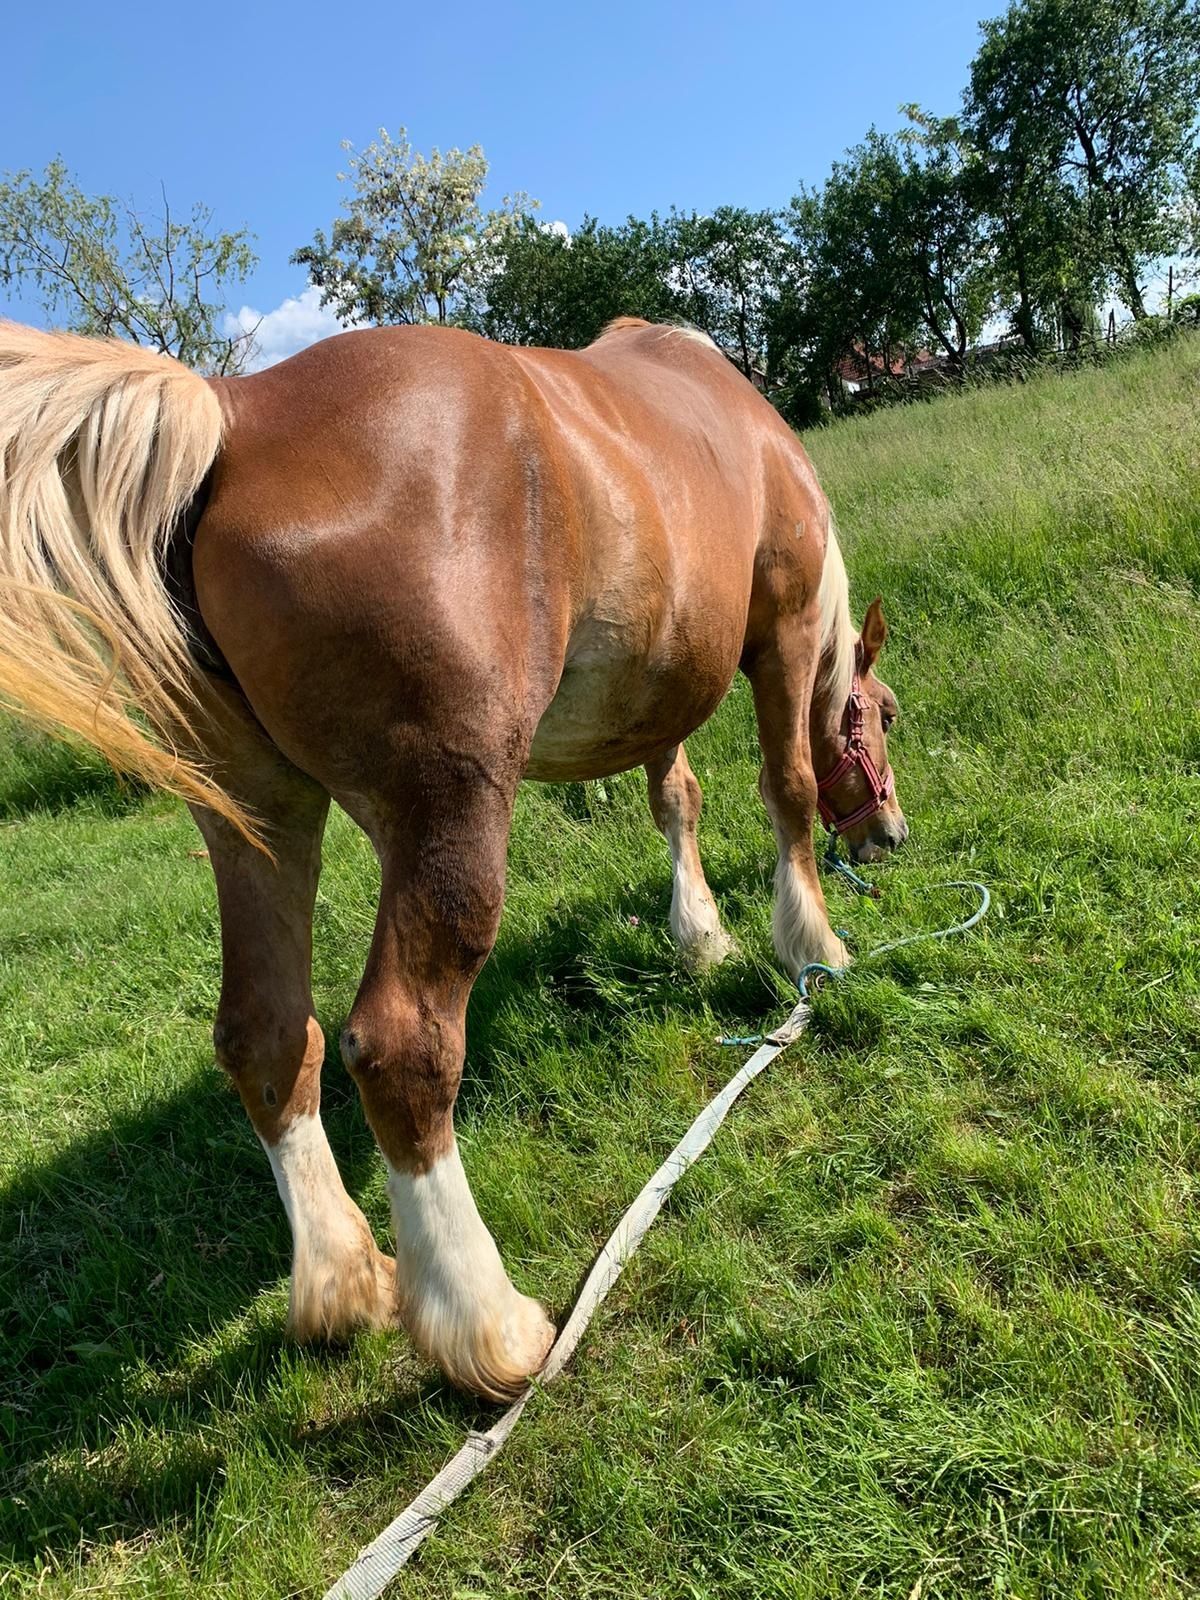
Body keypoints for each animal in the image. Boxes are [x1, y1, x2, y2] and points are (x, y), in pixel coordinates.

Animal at [0, 315, 902, 1401]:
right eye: (886, 715)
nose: (892, 837)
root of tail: (234, 415)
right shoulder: (785, 628)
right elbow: (790, 789)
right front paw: (812, 942)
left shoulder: (661, 688)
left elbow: (674, 794)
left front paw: (700, 935)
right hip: (450, 813)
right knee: (401, 1046)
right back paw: (486, 1325)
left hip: (259, 816)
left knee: (266, 1035)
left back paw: (342, 1282)